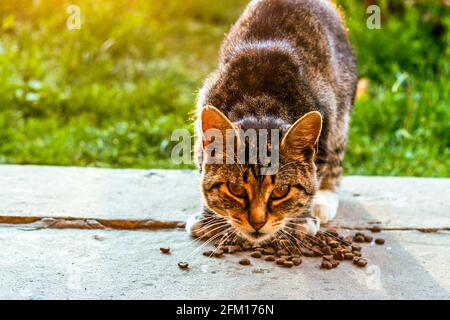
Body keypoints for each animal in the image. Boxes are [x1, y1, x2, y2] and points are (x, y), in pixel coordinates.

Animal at [185, 0, 356, 244]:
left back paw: (325, 198)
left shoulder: (326, 116)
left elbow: (314, 174)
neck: (260, 103)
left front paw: (301, 218)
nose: (257, 223)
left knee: (335, 158)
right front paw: (209, 218)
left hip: (341, 107)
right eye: (235, 189)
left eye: (280, 191)